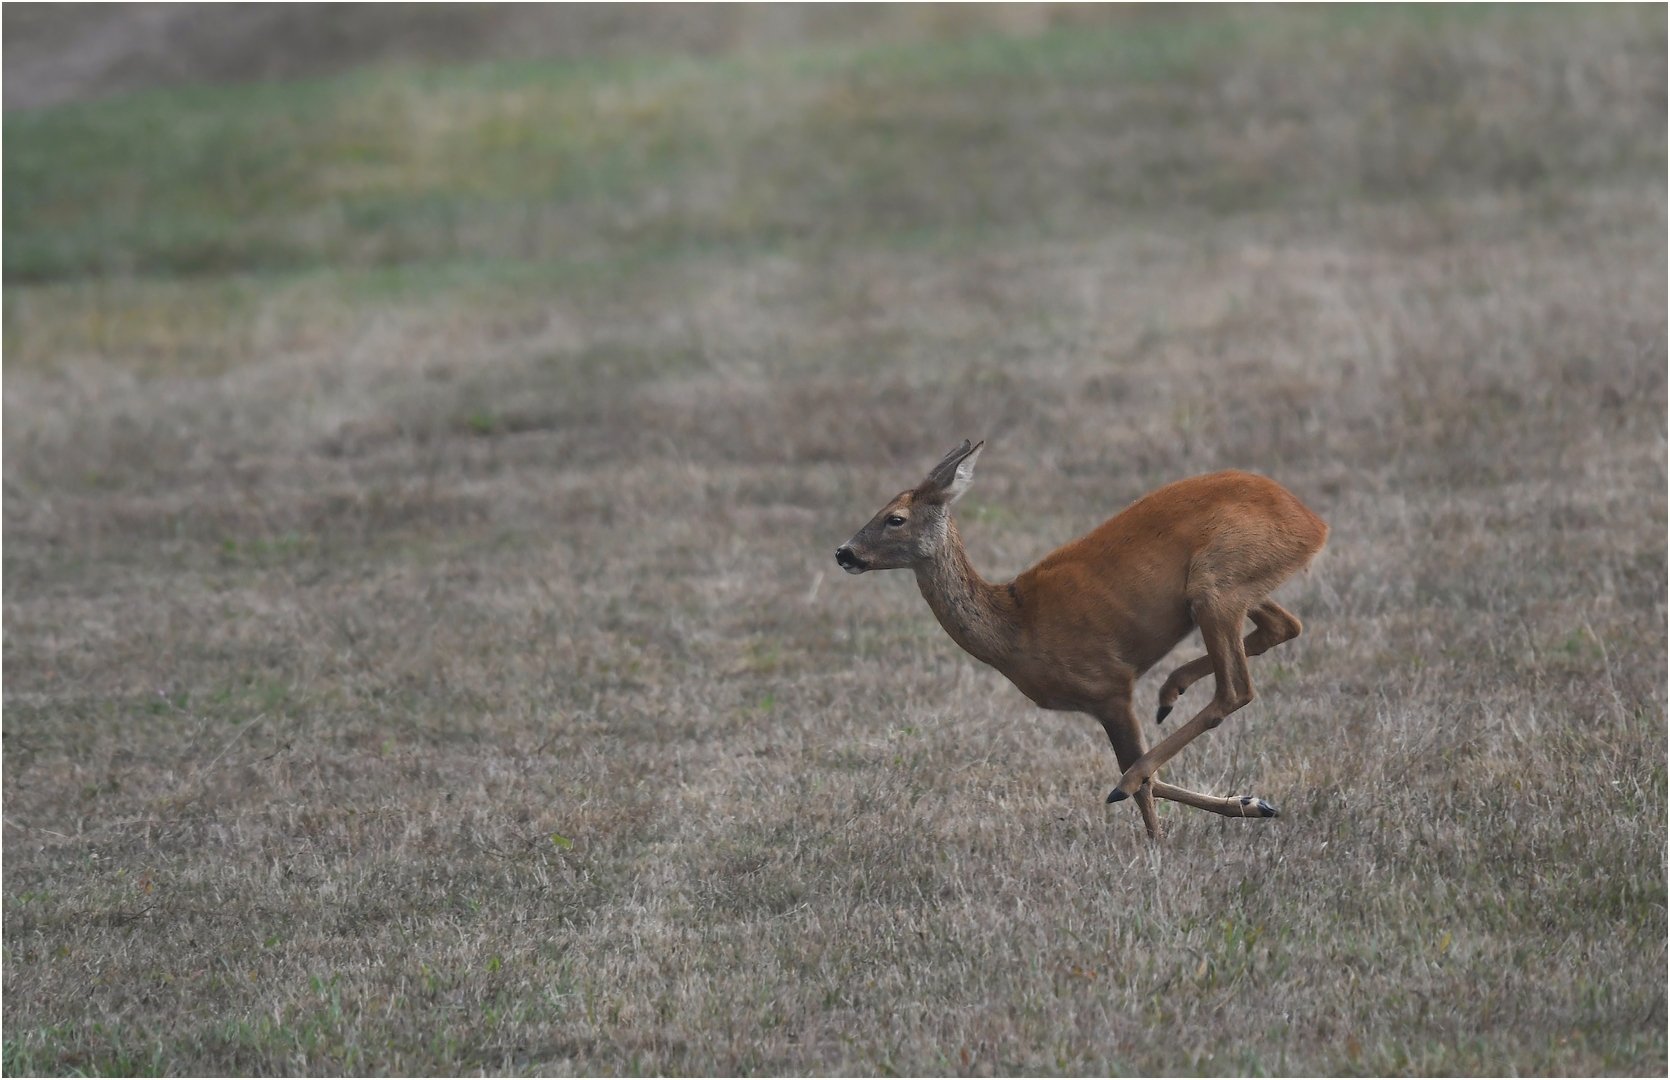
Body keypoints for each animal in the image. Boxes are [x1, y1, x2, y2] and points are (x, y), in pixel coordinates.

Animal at [835, 440, 1329, 837]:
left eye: (895, 518)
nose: (844, 552)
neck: (1015, 627)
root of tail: (1314, 524)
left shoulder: (1107, 684)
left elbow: (1142, 778)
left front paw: (1157, 843)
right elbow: (1147, 776)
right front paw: (1252, 802)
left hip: (1216, 582)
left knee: (1236, 689)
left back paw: (1135, 765)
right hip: (1229, 587)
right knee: (1283, 626)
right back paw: (1171, 691)